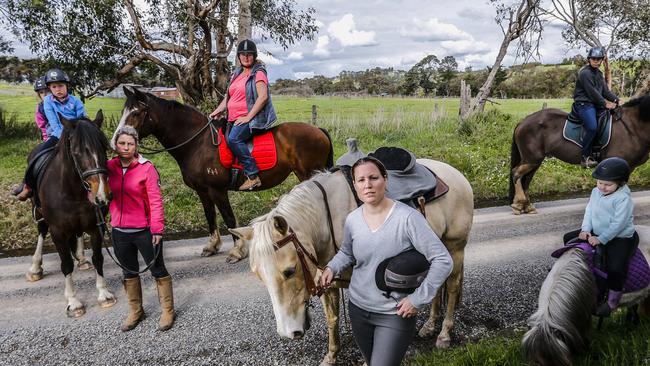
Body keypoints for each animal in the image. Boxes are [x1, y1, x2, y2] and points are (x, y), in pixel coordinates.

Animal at [38, 112, 116, 318]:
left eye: (103, 147)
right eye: (77, 152)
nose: (102, 195)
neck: (72, 191)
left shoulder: (96, 227)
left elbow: (98, 258)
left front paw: (103, 293)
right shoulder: (57, 232)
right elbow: (66, 264)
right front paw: (73, 302)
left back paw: (81, 258)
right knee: (41, 230)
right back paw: (35, 268)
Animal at [112, 87, 332, 260]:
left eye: (137, 112)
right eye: (123, 111)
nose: (117, 142)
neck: (197, 143)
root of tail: (319, 130)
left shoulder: (217, 190)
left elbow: (229, 219)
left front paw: (237, 250)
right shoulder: (202, 191)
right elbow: (210, 216)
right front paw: (212, 246)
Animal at [230, 159, 474, 364]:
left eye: (289, 271)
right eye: (259, 277)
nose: (289, 332)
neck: (326, 220)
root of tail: (456, 175)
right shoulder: (328, 281)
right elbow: (333, 319)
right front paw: (331, 356)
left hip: (455, 247)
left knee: (452, 287)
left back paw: (444, 334)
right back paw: (430, 325)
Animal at [506, 94, 648, 214]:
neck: (631, 126)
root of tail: (523, 121)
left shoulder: (627, 168)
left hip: (534, 161)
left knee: (526, 179)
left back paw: (527, 206)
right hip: (531, 159)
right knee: (516, 173)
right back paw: (519, 204)